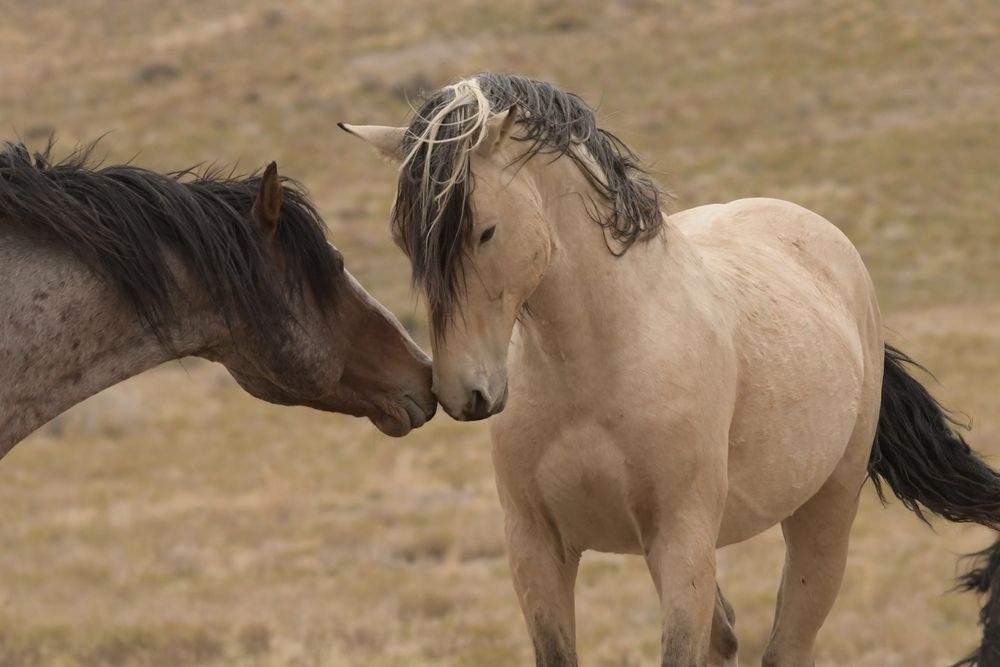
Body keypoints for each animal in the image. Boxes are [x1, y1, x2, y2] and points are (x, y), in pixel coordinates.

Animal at [342, 72, 1000, 666]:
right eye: (404, 239)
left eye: (485, 230)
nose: (463, 391)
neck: (596, 362)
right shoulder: (536, 547)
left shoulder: (679, 543)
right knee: (727, 637)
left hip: (824, 513)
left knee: (787, 645)